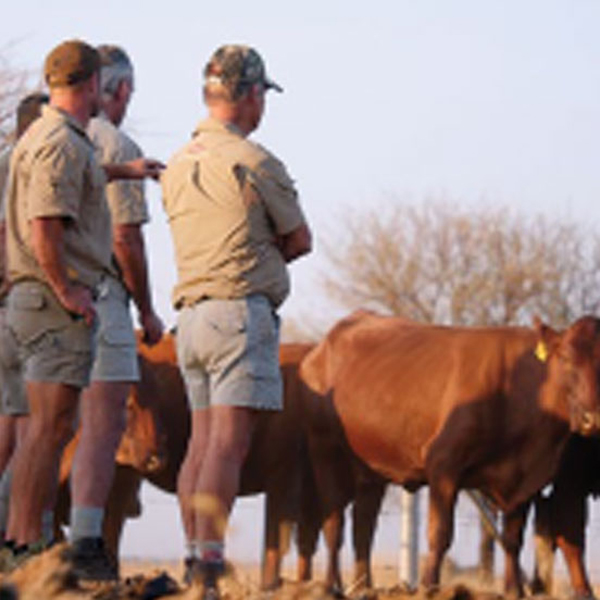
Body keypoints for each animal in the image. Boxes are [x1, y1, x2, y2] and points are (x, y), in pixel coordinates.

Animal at [300, 310, 600, 596]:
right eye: (566, 359)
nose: (592, 419)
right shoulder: (444, 466)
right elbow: (440, 533)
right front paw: (429, 586)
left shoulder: (524, 480)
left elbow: (512, 539)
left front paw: (514, 590)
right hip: (325, 451)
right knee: (334, 526)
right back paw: (331, 586)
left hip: (371, 471)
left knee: (363, 528)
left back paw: (364, 587)